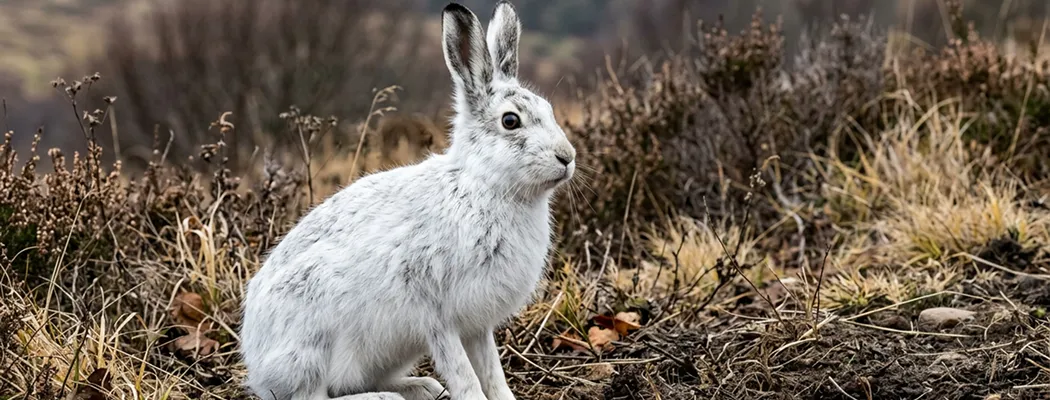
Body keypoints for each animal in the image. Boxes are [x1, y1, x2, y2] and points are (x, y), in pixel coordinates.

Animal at [238, 1, 576, 400]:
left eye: (549, 110)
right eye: (511, 121)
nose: (567, 157)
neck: (484, 185)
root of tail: (257, 366)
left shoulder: (479, 324)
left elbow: (492, 370)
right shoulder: (435, 315)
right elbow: (463, 372)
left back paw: (422, 387)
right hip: (311, 339)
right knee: (315, 394)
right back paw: (387, 396)